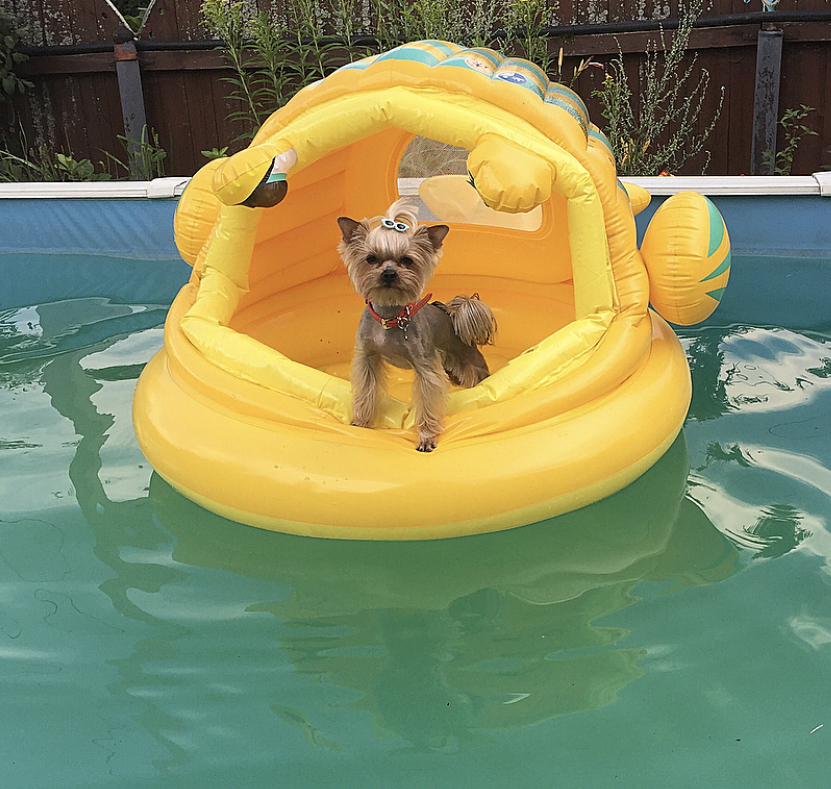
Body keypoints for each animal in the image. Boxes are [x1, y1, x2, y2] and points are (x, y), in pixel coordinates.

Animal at [340, 200, 500, 452]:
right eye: (371, 259)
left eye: (407, 260)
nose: (389, 273)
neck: (390, 317)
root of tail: (452, 316)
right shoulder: (367, 359)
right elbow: (366, 391)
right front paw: (362, 422)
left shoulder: (427, 369)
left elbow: (427, 405)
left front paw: (426, 438)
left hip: (469, 362)